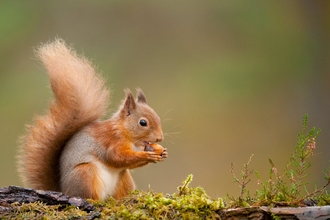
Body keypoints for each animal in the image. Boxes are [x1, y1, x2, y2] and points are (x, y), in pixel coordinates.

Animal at [16, 38, 166, 200]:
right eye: (143, 123)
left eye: (158, 117)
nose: (160, 138)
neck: (125, 132)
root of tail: (64, 190)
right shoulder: (110, 141)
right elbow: (117, 157)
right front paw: (147, 155)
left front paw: (162, 152)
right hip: (85, 173)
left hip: (124, 178)